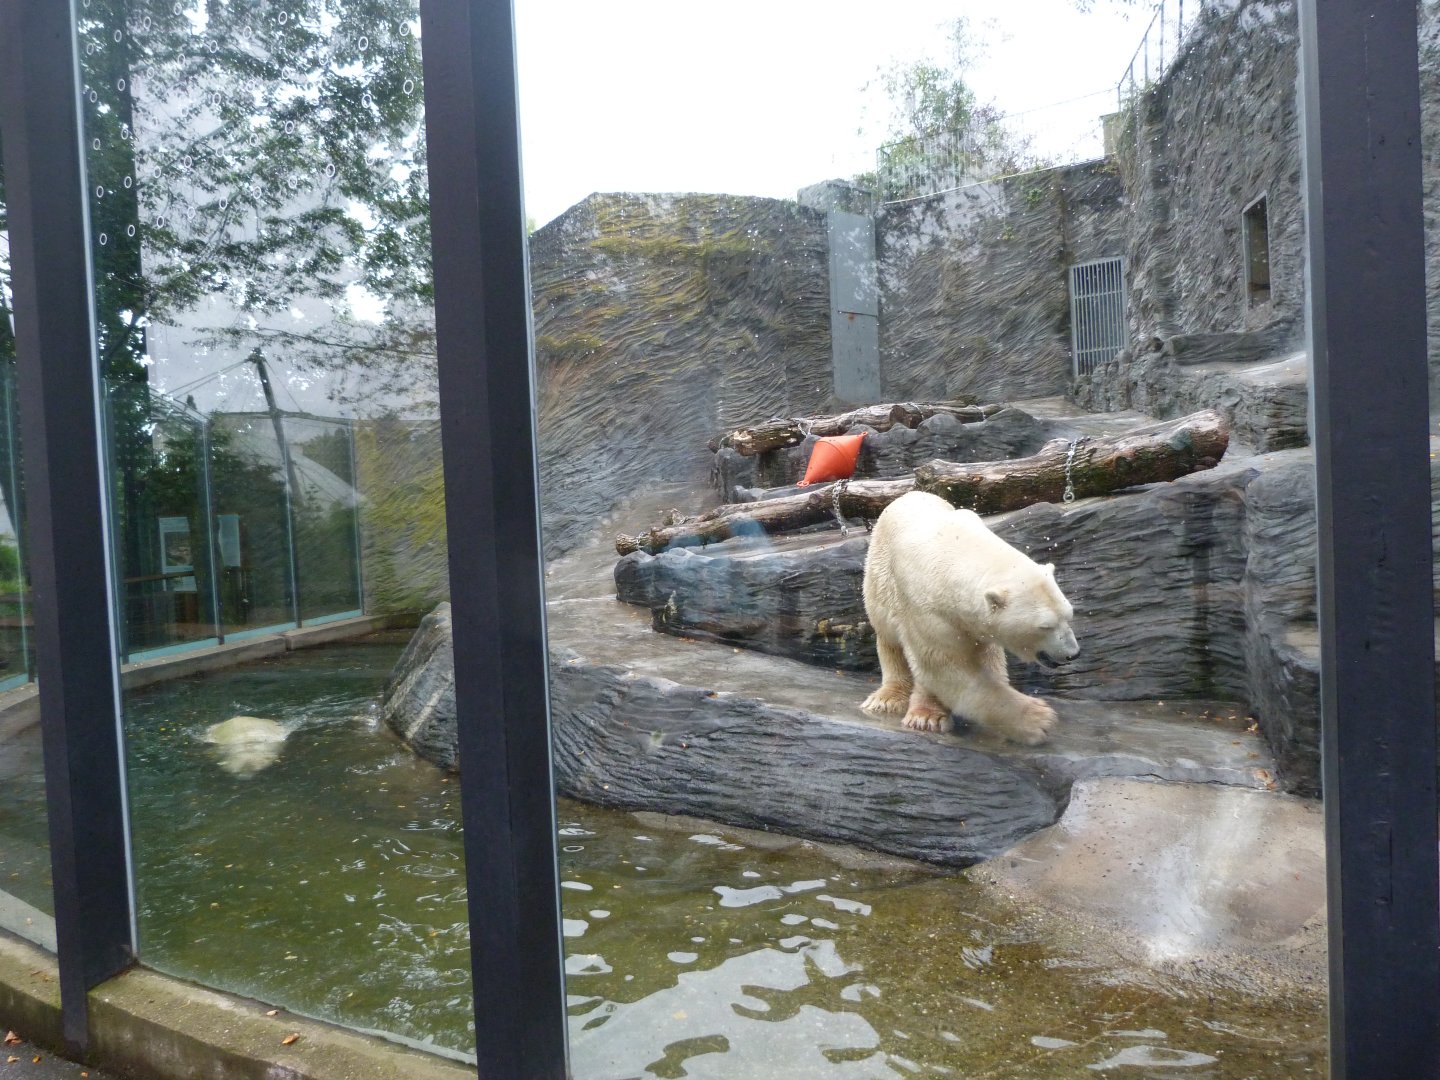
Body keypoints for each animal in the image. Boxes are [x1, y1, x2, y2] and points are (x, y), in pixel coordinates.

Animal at [859, 490, 1079, 745]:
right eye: (1045, 626)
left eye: (1069, 615)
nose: (1073, 653)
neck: (953, 547)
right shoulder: (926, 609)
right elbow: (945, 665)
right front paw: (1038, 719)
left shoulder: (973, 623)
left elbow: (985, 659)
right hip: (878, 581)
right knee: (889, 637)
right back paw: (895, 701)